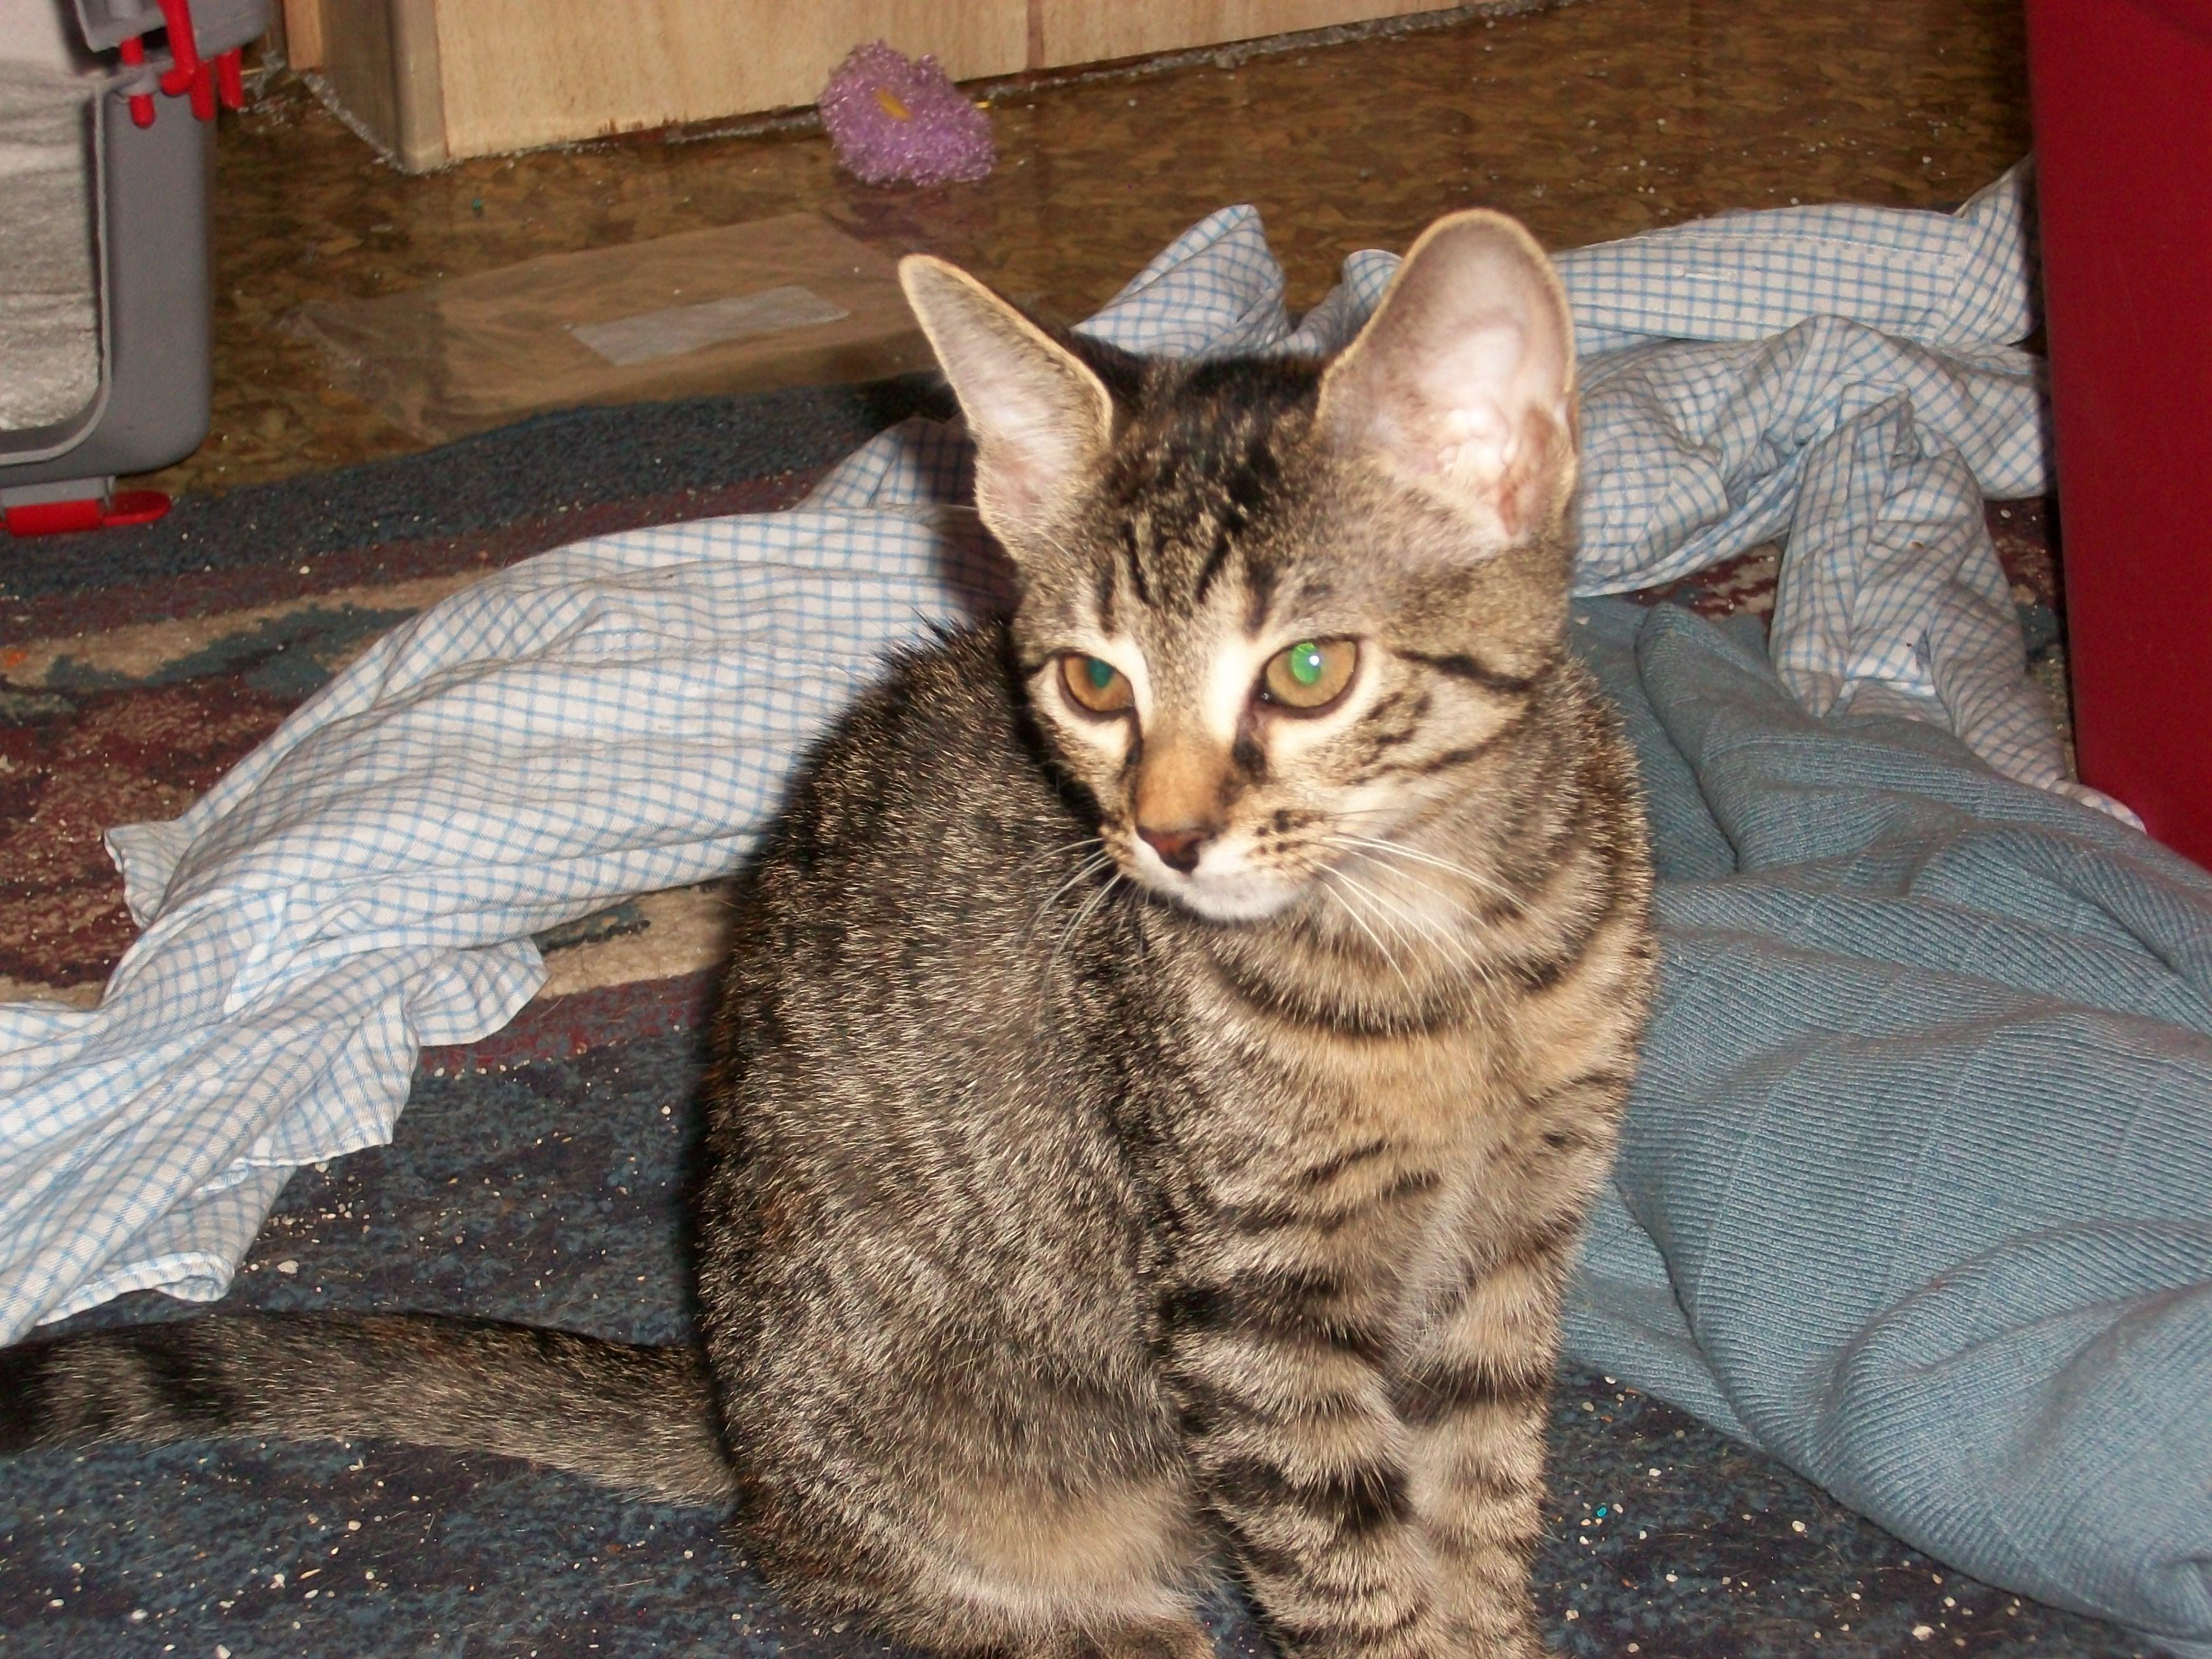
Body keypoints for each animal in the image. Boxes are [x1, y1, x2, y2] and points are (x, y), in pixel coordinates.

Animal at [0, 214, 1655, 1659]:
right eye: (1091, 684)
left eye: (1308, 673)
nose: (1166, 834)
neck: (1451, 949)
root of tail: (740, 1419)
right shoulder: (1253, 1306)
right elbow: (1349, 1575)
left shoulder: (1515, 1251)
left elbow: (1477, 1516)